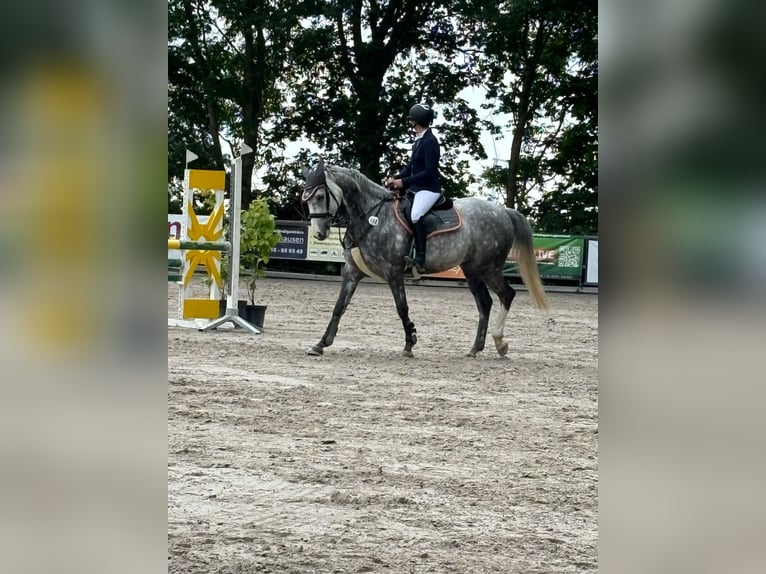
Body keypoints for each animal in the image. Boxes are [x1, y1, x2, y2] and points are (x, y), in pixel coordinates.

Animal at [302, 162, 552, 358]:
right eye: (306, 199)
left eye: (320, 196)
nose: (319, 234)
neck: (373, 217)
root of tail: (503, 212)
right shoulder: (352, 272)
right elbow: (339, 307)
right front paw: (320, 344)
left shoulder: (393, 272)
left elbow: (402, 308)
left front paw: (409, 343)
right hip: (471, 269)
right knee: (485, 302)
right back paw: (475, 348)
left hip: (488, 268)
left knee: (506, 295)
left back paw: (500, 343)